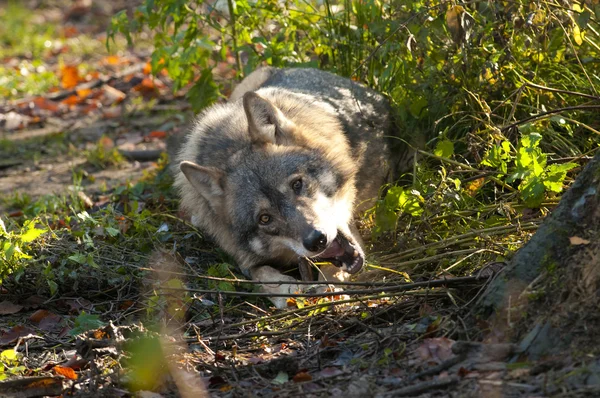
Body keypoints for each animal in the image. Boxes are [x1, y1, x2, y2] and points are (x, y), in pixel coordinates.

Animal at [173, 67, 398, 308]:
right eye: (264, 218)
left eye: (297, 184)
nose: (317, 240)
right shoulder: (244, 258)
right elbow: (261, 274)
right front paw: (288, 291)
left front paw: (330, 290)